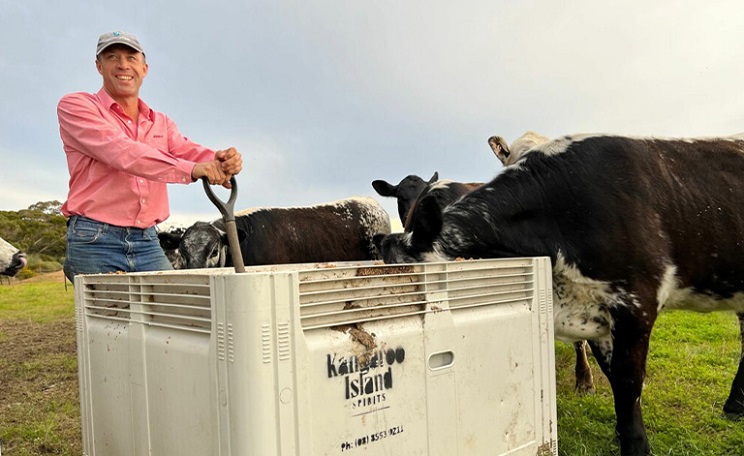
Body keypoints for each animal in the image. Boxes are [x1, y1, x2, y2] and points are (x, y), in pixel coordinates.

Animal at [378, 130, 744, 454]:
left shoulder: (636, 303)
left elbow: (627, 382)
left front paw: (635, 444)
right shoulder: (595, 309)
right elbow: (612, 375)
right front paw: (619, 431)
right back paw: (735, 404)